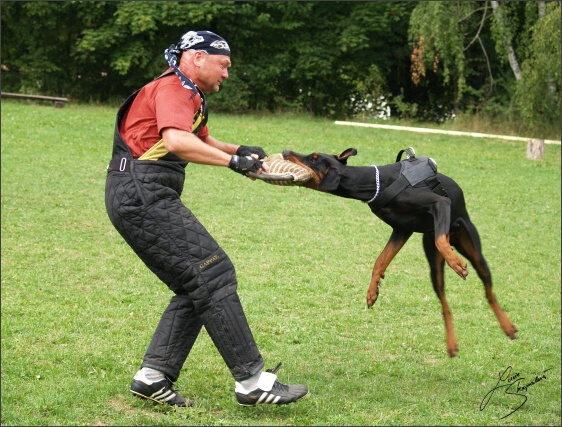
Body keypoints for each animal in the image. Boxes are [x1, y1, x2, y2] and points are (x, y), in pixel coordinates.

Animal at [280, 148, 516, 358]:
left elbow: (441, 239)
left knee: (488, 291)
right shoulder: (402, 229)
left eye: (313, 158)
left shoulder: (439, 203)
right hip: (434, 268)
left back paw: (507, 326)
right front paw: (372, 291)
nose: (285, 151)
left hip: (474, 251)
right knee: (444, 303)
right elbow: (380, 261)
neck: (374, 183)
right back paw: (452, 344)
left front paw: (456, 262)